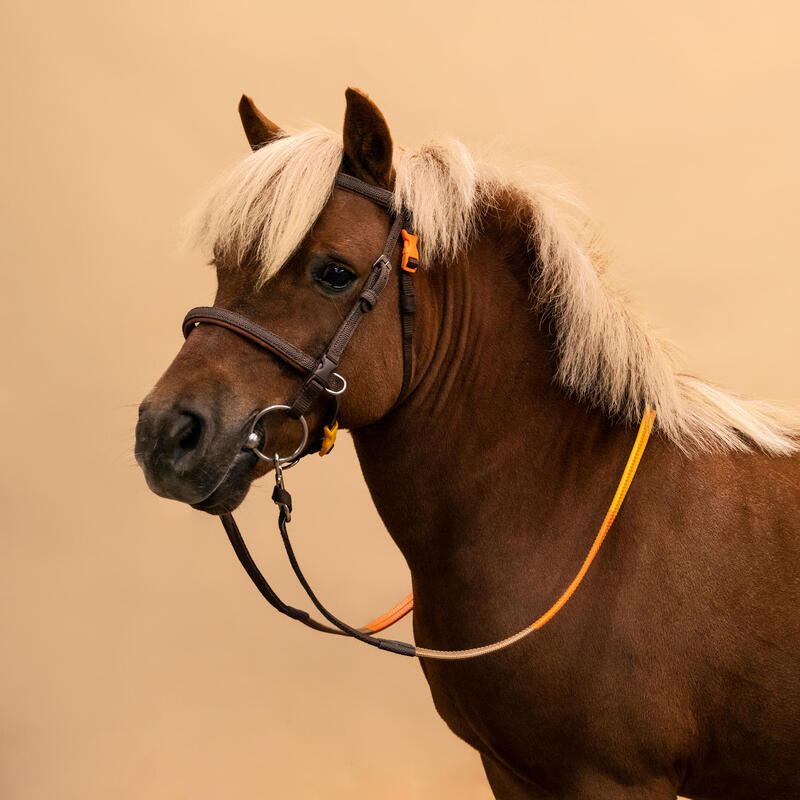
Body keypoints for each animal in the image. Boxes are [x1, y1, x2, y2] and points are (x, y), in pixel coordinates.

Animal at [136, 89, 800, 800]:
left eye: (335, 273)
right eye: (223, 267)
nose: (166, 433)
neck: (568, 508)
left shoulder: (615, 781)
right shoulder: (510, 771)